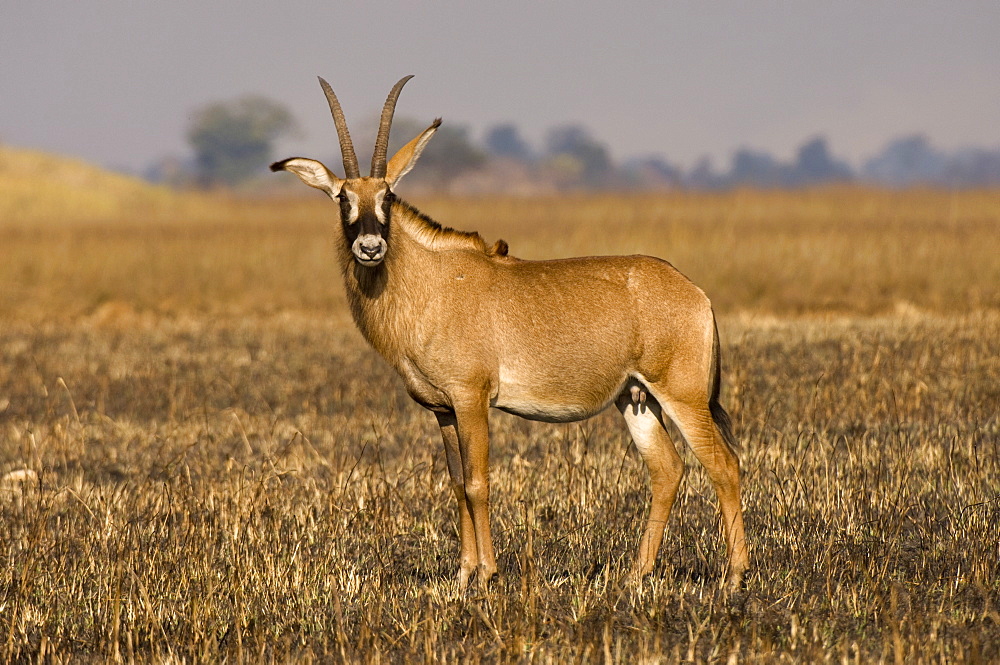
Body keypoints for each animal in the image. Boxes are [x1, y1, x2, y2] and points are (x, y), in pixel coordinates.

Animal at [270, 75, 748, 588]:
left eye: (388, 197)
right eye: (343, 198)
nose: (370, 247)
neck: (432, 281)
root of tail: (695, 293)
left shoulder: (471, 398)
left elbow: (479, 483)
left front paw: (487, 574)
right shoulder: (443, 410)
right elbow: (457, 483)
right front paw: (462, 575)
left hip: (682, 395)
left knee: (723, 465)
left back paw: (735, 575)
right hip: (635, 398)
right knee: (667, 470)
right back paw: (637, 574)